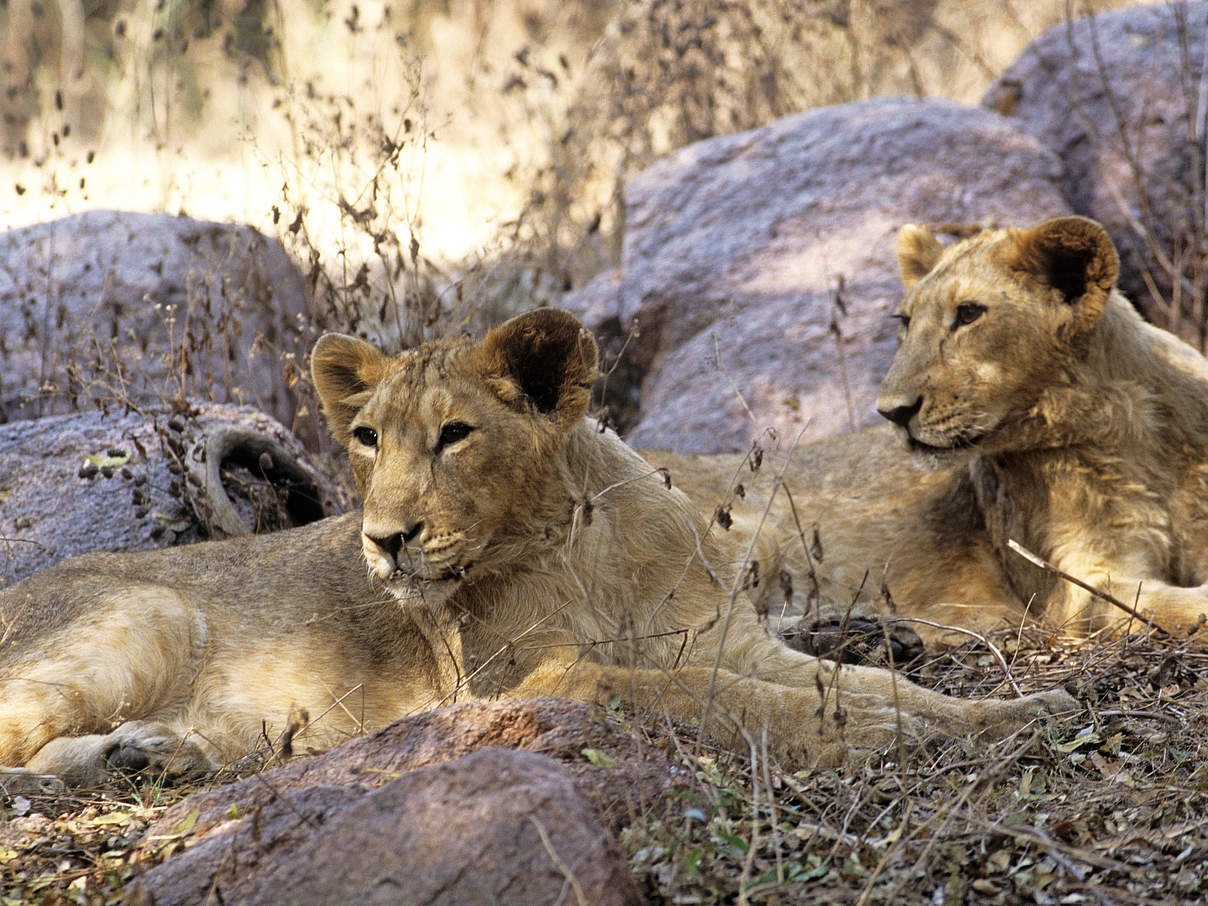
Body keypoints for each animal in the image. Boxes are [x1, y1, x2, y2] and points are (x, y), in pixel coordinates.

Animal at [0, 306, 1077, 787]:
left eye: (454, 435)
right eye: (367, 438)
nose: (384, 540)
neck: (583, 553)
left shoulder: (725, 639)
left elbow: (856, 681)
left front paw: (1012, 711)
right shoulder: (526, 684)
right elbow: (698, 698)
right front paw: (881, 736)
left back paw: (155, 753)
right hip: (146, 610)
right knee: (18, 749)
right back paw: (135, 753)